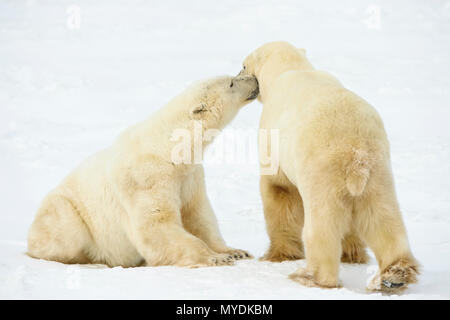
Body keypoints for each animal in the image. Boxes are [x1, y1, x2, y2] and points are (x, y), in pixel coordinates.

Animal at [28, 75, 258, 268]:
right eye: (231, 82)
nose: (254, 79)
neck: (168, 146)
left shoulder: (189, 175)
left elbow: (197, 215)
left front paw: (235, 252)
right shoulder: (146, 178)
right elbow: (156, 225)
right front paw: (215, 258)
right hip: (66, 212)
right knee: (66, 234)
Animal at [241, 41, 420, 294]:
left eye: (243, 65)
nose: (239, 74)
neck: (293, 69)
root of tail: (356, 155)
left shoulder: (273, 137)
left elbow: (280, 191)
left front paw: (279, 255)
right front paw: (352, 254)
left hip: (323, 174)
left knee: (322, 228)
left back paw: (310, 276)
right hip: (377, 172)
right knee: (383, 220)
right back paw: (394, 275)